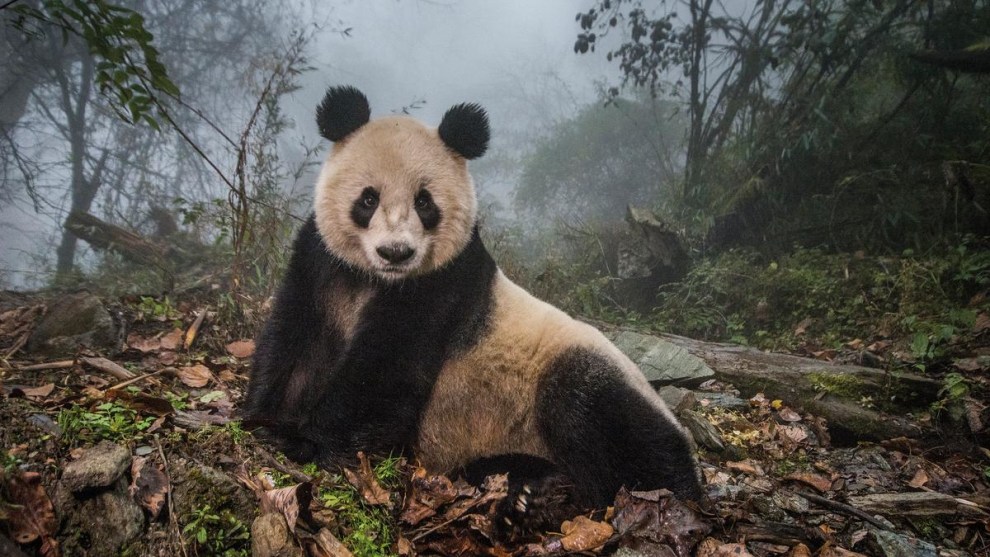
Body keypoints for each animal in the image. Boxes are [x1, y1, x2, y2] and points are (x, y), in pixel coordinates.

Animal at [244, 85, 701, 534]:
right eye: (368, 199)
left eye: (425, 203)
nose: (396, 252)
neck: (376, 279)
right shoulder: (320, 263)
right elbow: (294, 340)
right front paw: (262, 418)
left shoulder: (442, 284)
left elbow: (384, 373)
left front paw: (305, 440)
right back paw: (528, 491)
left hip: (582, 372)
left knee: (606, 420)